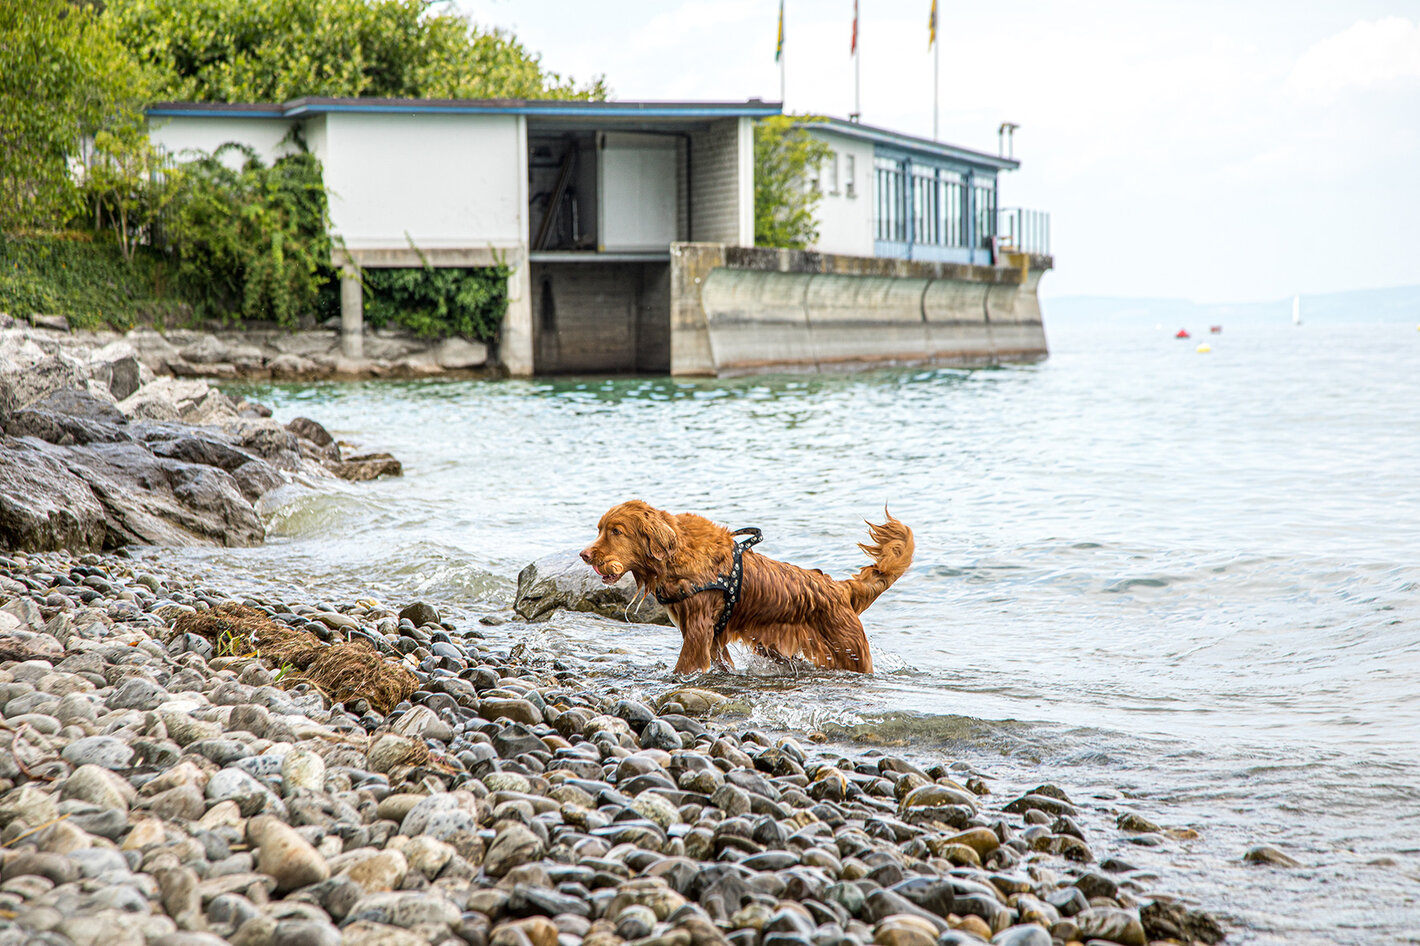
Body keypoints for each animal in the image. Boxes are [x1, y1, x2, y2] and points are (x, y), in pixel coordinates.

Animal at [582, 499, 914, 670]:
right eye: (599, 529)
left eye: (616, 531)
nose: (584, 554)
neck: (677, 557)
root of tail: (840, 588)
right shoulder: (711, 635)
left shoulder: (699, 630)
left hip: (849, 651)